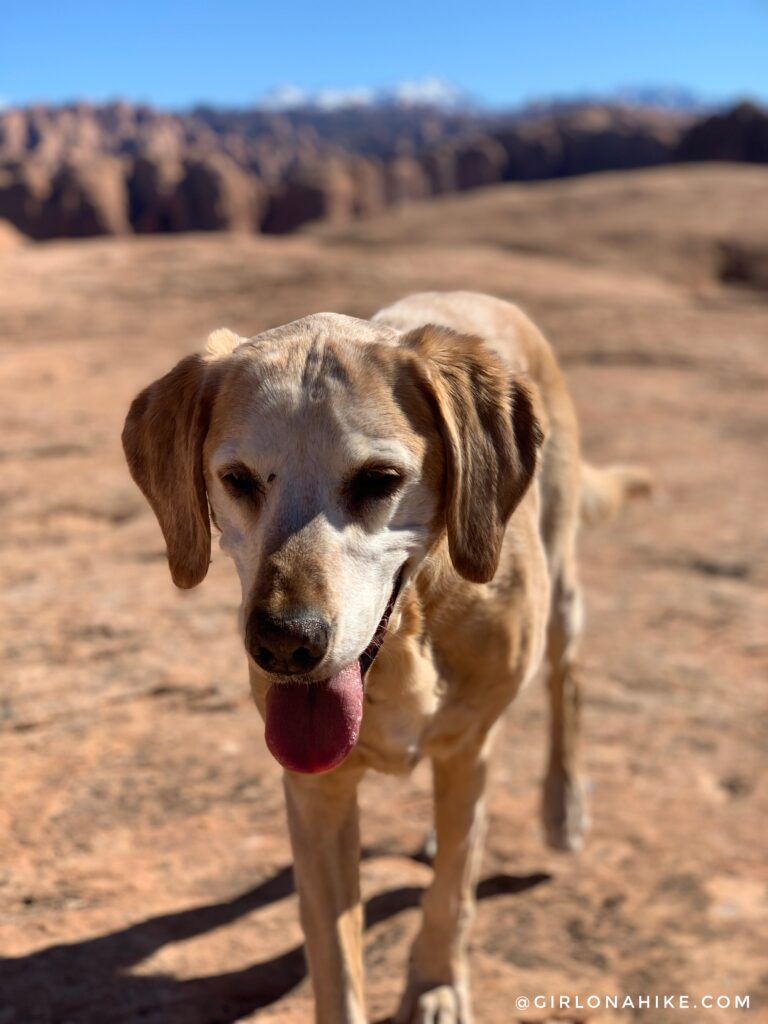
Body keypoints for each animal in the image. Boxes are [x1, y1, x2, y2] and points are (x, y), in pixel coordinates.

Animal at [121, 292, 651, 1019]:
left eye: (379, 480)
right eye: (236, 480)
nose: (283, 641)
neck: (406, 635)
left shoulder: (467, 747)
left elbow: (454, 890)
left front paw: (436, 986)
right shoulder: (316, 793)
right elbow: (334, 954)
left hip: (562, 586)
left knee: (565, 681)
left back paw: (563, 807)